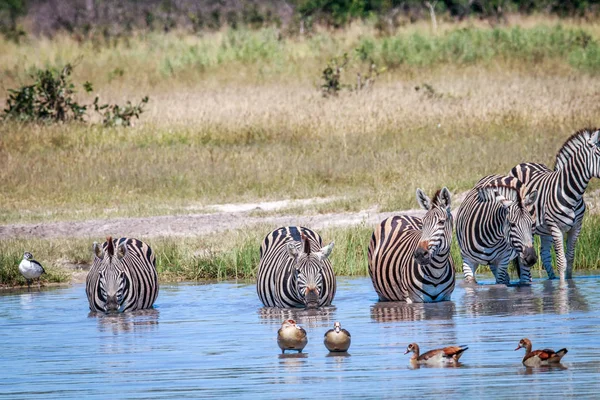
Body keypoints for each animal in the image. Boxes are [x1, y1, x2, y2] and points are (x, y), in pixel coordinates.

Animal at [508, 130, 600, 280]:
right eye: (599, 154)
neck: (573, 194)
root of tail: (522, 164)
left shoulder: (576, 227)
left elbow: (570, 259)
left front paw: (569, 283)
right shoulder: (556, 228)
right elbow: (561, 261)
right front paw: (563, 285)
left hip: (545, 230)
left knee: (544, 255)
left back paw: (551, 279)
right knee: (523, 260)